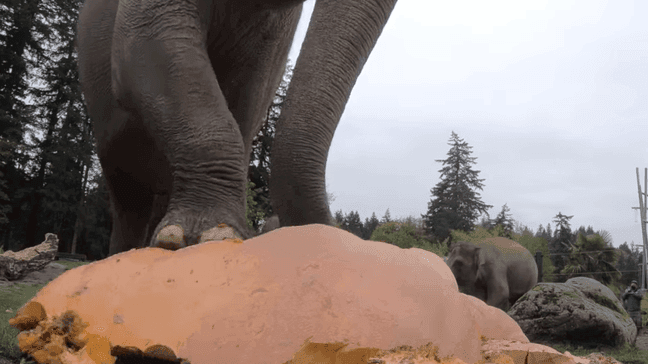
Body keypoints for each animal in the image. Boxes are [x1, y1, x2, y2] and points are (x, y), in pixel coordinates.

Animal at [76, 0, 400, 256]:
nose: (329, 232)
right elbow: (145, 34)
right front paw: (211, 236)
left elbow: (249, 91)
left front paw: (202, 236)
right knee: (128, 201)